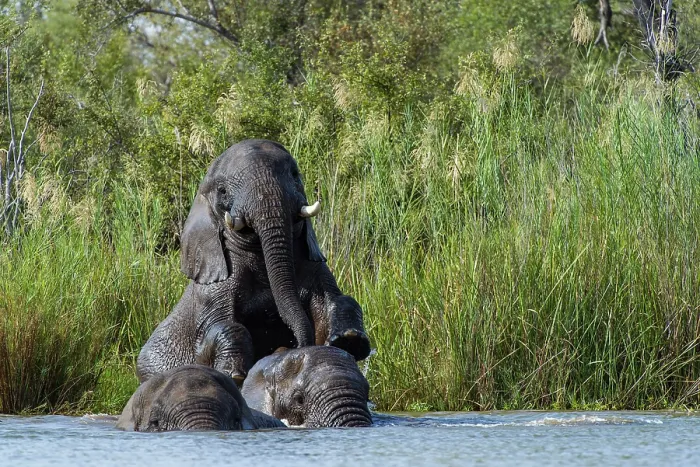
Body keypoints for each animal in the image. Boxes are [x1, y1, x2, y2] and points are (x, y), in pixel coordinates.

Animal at [137, 139, 370, 384]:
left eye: (295, 174)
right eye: (222, 191)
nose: (293, 346)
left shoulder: (315, 265)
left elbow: (333, 301)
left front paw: (348, 340)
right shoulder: (213, 290)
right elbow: (220, 326)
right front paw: (234, 374)